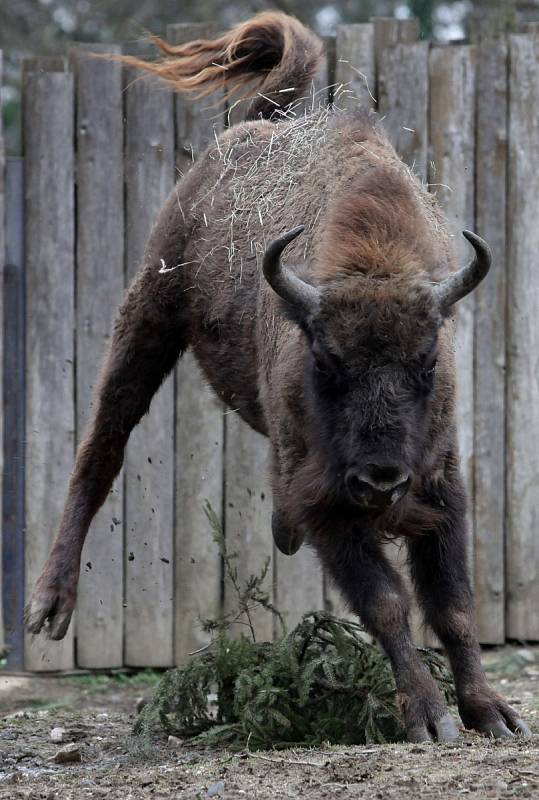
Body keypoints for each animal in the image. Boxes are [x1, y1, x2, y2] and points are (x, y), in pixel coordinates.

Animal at [26, 12, 532, 740]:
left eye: (428, 360)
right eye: (325, 359)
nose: (380, 479)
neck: (372, 263)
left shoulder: (440, 486)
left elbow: (454, 605)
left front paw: (490, 713)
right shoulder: (326, 499)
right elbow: (386, 602)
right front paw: (428, 717)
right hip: (146, 316)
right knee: (100, 449)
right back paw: (50, 605)